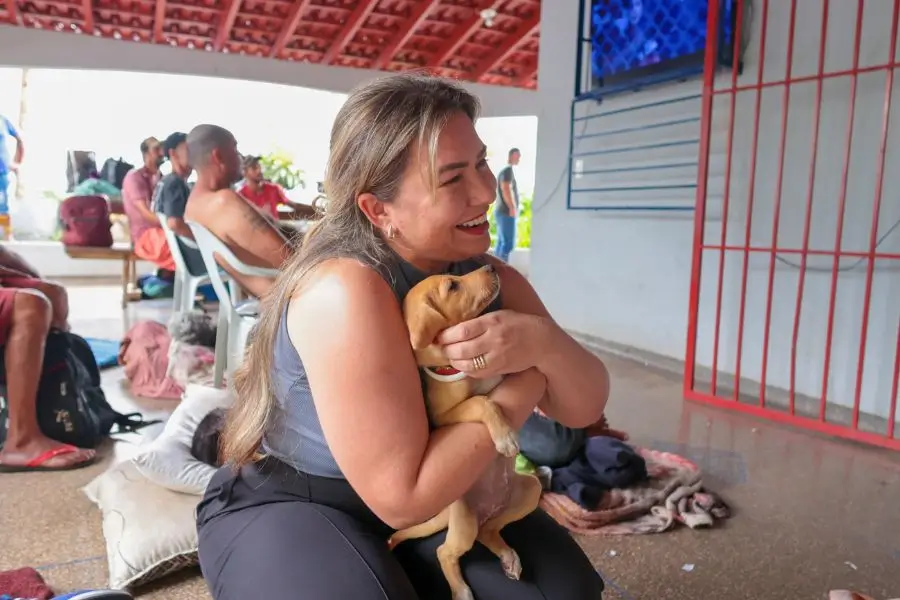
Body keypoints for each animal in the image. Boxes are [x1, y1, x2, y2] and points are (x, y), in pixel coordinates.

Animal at [389, 264, 543, 600]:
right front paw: (506, 437)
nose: (492, 265)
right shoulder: (445, 417)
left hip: (530, 491)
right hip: (464, 523)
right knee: (446, 552)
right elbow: (482, 402)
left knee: (490, 531)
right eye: (452, 286)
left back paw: (508, 557)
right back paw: (460, 590)